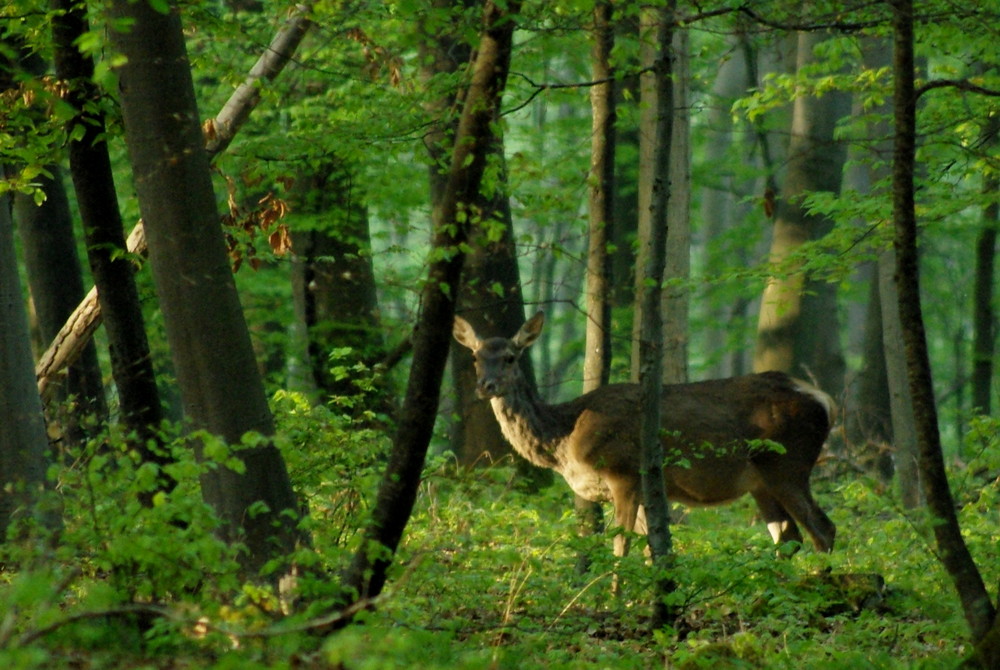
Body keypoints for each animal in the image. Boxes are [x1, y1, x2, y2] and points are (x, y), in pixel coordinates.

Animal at [454, 314, 836, 560]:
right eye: (475, 356)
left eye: (509, 357)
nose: (485, 385)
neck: (564, 438)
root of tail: (824, 400)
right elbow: (652, 549)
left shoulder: (624, 473)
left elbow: (621, 548)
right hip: (760, 481)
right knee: (788, 537)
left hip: (787, 463)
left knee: (823, 528)